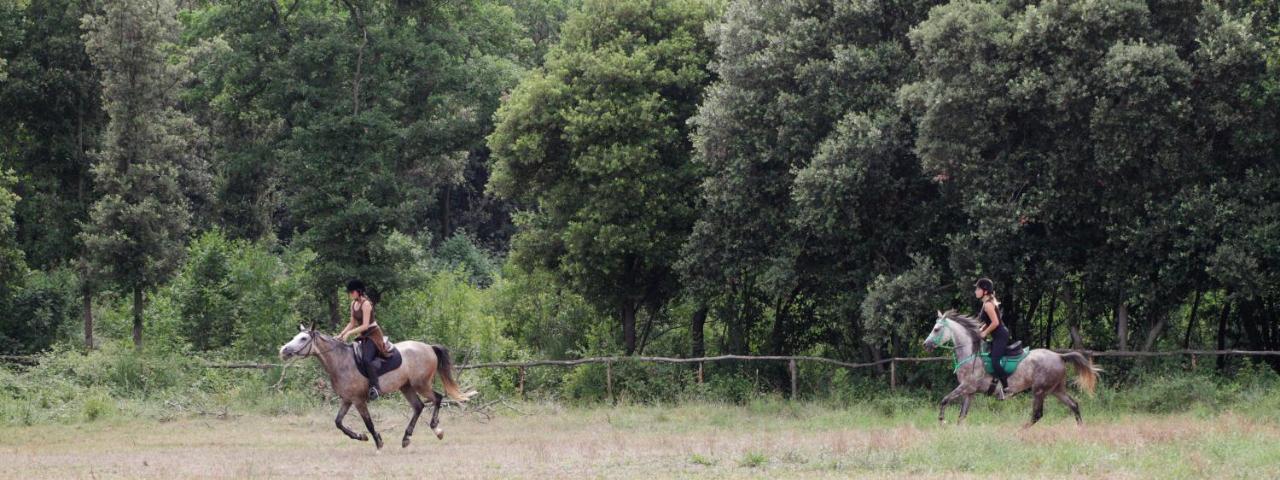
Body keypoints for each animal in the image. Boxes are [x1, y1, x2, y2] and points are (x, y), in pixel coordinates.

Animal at [280, 325, 476, 450]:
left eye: (303, 338)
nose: (284, 350)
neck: (341, 361)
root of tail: (428, 347)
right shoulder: (347, 400)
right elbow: (338, 422)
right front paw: (361, 437)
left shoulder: (359, 401)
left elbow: (369, 423)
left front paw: (378, 442)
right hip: (406, 387)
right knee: (419, 406)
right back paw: (406, 438)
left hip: (420, 384)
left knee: (437, 398)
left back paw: (437, 430)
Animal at [921, 312, 1100, 427]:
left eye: (936, 329)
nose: (925, 344)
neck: (971, 354)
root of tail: (1059, 356)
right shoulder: (969, 392)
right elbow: (962, 416)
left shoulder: (965, 387)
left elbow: (944, 400)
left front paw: (942, 420)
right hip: (1056, 390)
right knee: (1074, 405)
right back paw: (1080, 429)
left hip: (1039, 390)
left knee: (1037, 414)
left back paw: (1021, 429)